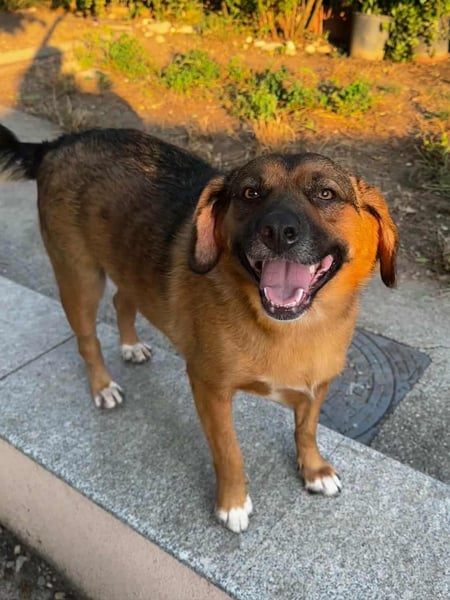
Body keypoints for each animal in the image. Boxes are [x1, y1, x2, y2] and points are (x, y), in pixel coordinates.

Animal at [0, 125, 398, 532]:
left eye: (325, 193)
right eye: (250, 193)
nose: (277, 231)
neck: (293, 329)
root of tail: (59, 143)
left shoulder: (318, 386)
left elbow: (306, 429)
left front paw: (314, 469)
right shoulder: (210, 389)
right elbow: (229, 451)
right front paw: (233, 503)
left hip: (128, 268)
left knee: (122, 301)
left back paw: (130, 345)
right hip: (80, 278)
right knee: (87, 339)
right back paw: (102, 385)